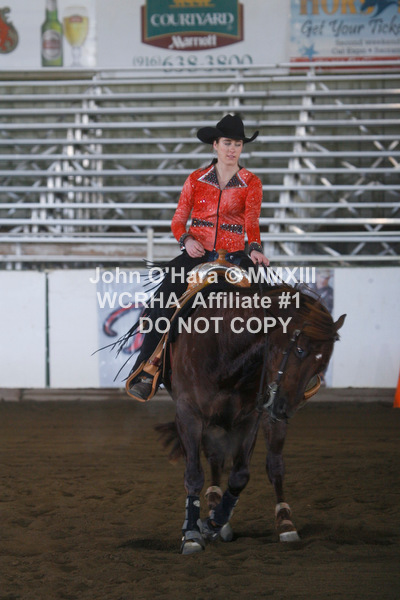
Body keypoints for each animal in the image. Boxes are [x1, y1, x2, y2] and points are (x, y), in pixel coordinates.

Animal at [155, 277, 346, 555]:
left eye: (322, 364)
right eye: (299, 350)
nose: (285, 408)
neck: (223, 346)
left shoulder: (249, 418)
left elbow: (240, 475)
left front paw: (214, 522)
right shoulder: (189, 414)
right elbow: (193, 474)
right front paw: (191, 532)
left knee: (274, 465)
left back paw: (284, 522)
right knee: (215, 459)